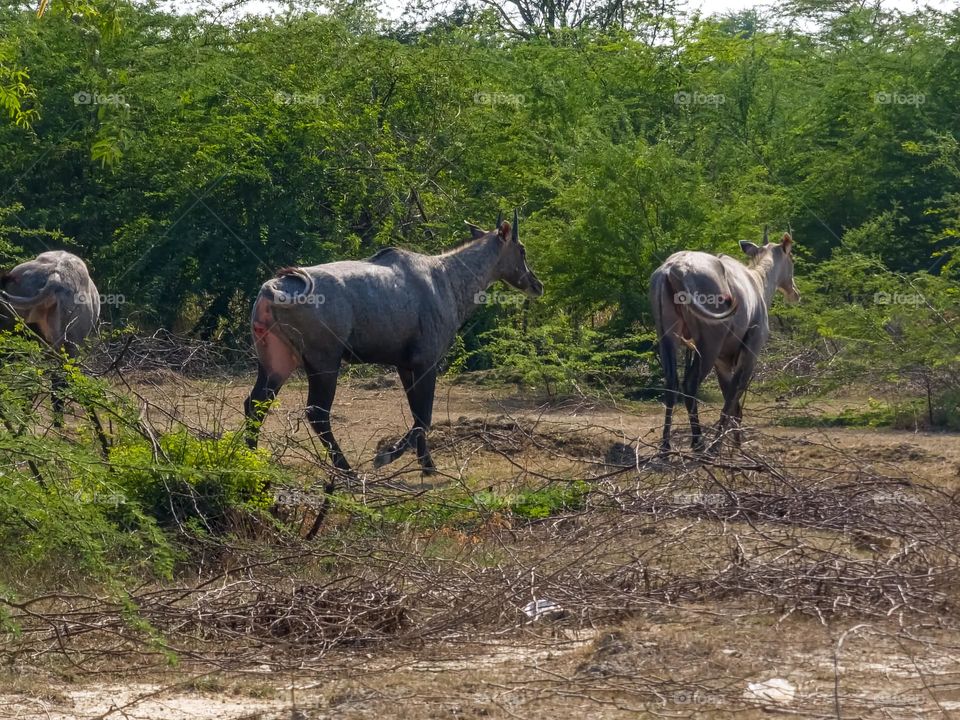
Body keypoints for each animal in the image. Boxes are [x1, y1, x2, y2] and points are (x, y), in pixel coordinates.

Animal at [244, 208, 544, 478]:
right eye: (522, 249)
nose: (537, 285)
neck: (447, 278)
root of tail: (271, 289)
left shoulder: (405, 365)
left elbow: (417, 413)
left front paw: (427, 465)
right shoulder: (427, 361)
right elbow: (424, 416)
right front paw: (388, 457)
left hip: (277, 362)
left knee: (255, 403)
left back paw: (251, 458)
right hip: (324, 361)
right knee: (317, 412)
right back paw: (348, 471)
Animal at [648, 231, 800, 452]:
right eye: (792, 259)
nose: (795, 292)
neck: (757, 282)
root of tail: (674, 269)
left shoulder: (723, 360)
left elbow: (730, 396)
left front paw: (735, 443)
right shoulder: (750, 352)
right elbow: (733, 395)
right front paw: (726, 445)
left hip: (667, 337)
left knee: (671, 383)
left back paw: (666, 446)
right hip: (709, 344)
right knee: (690, 383)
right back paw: (700, 443)